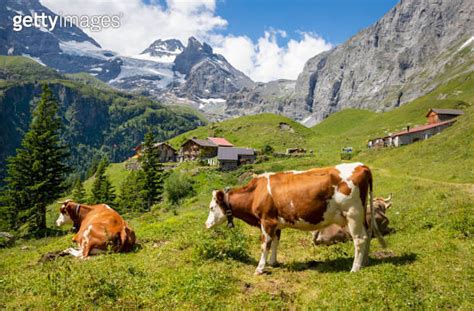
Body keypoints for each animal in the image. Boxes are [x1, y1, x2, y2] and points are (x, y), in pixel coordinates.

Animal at [206, 163, 386, 276]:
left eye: (211, 207)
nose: (206, 224)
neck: (257, 192)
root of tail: (361, 166)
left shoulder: (266, 221)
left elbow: (265, 245)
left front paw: (260, 268)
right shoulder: (276, 223)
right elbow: (276, 242)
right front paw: (273, 262)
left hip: (352, 213)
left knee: (359, 239)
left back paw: (355, 268)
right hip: (359, 215)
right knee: (367, 235)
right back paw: (364, 262)